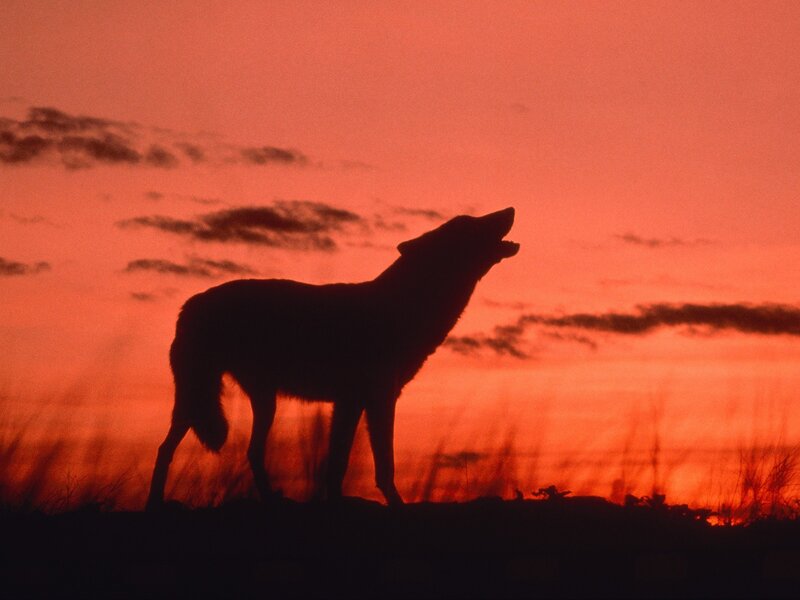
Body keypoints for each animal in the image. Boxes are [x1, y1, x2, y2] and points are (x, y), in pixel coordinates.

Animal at [146, 207, 519, 508]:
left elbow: (339, 465)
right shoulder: (374, 400)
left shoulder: (354, 402)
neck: (403, 307)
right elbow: (378, 465)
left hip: (248, 403)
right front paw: (393, 503)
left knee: (236, 451)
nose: (510, 208)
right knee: (171, 451)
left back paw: (268, 501)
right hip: (208, 402)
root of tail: (190, 304)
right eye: (470, 223)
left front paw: (339, 501)